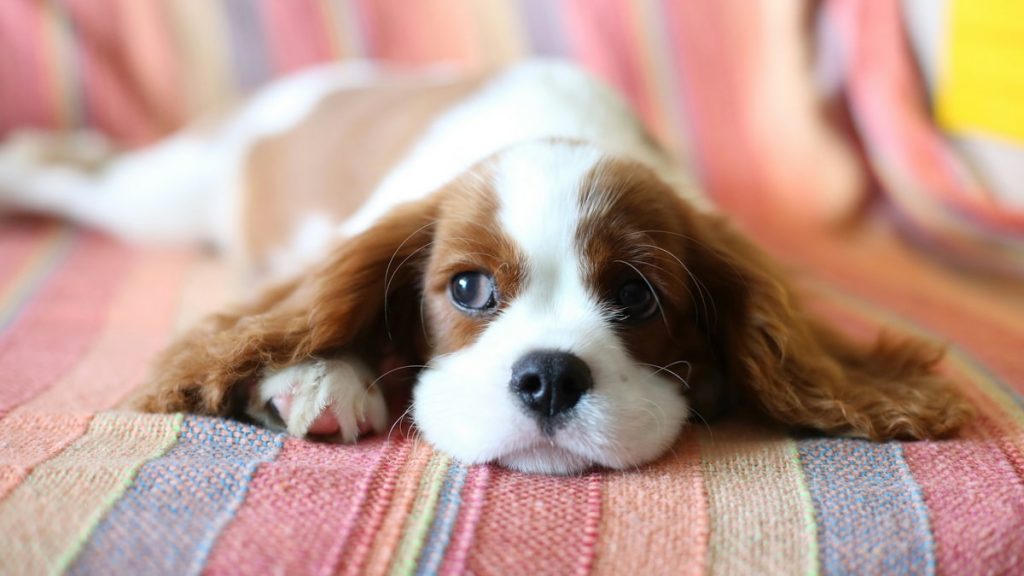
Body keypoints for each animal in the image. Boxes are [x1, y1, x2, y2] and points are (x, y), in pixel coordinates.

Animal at [0, 60, 966, 471]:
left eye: (634, 295)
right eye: (469, 288)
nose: (548, 379)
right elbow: (304, 305)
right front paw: (319, 374)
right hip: (167, 192)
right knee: (79, 169)